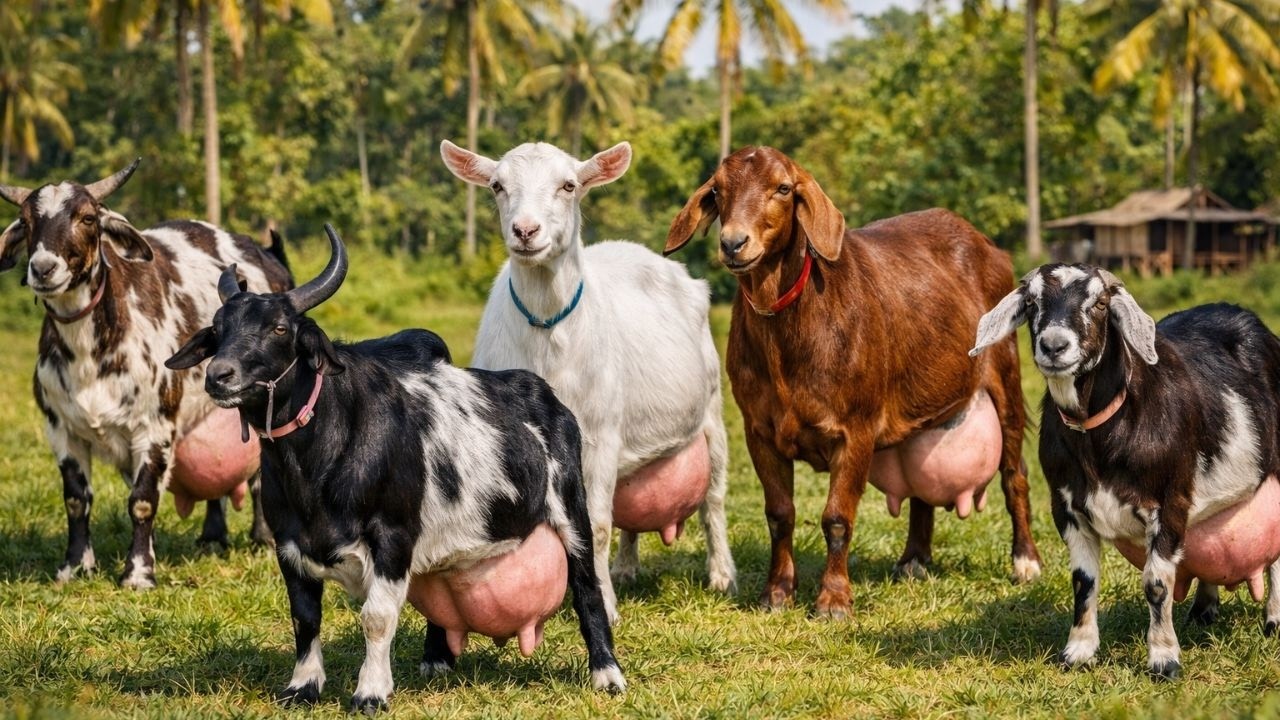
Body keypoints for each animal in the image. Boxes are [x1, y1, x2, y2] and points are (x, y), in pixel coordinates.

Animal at [0, 161, 289, 589]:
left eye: (87, 217)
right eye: (26, 220)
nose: (43, 268)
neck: (90, 353)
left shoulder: (154, 426)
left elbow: (141, 501)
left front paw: (138, 573)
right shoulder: (61, 428)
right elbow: (76, 500)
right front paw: (75, 567)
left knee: (257, 479)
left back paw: (264, 537)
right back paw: (212, 537)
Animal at [166, 224, 624, 712]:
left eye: (279, 327)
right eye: (218, 329)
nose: (220, 375)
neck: (313, 465)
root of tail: (540, 392)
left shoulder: (392, 537)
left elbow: (377, 616)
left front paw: (371, 691)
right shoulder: (288, 544)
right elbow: (305, 618)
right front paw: (302, 686)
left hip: (572, 509)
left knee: (587, 587)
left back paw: (607, 674)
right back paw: (437, 659)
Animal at [441, 139, 736, 624]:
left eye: (569, 185)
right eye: (497, 185)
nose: (526, 231)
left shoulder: (600, 430)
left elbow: (595, 524)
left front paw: (605, 605)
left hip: (712, 405)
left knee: (713, 496)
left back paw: (722, 575)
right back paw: (627, 567)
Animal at [664, 146, 1041, 618]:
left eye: (783, 188)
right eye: (717, 189)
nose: (733, 243)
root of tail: (987, 245)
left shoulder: (855, 429)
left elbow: (837, 517)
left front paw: (833, 600)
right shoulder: (759, 430)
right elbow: (780, 513)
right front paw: (777, 594)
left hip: (1006, 372)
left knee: (1015, 472)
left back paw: (1025, 562)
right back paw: (914, 559)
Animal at [972, 263, 1280, 680]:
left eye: (1100, 303)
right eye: (1032, 302)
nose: (1054, 346)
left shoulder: (1169, 502)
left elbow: (1156, 584)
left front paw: (1164, 660)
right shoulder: (1066, 507)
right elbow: (1083, 581)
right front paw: (1078, 652)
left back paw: (1273, 621)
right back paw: (1204, 610)